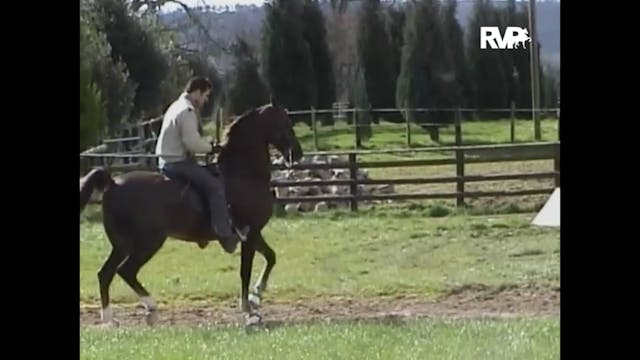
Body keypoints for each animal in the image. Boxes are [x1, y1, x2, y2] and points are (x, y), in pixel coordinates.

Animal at [79, 101, 302, 326]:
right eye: (284, 122)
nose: (298, 153)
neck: (243, 175)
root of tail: (113, 183)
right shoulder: (250, 233)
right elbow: (245, 271)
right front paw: (249, 310)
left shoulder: (254, 233)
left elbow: (271, 257)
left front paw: (256, 299)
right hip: (148, 242)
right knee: (125, 271)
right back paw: (151, 309)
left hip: (122, 245)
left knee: (105, 273)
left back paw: (110, 319)